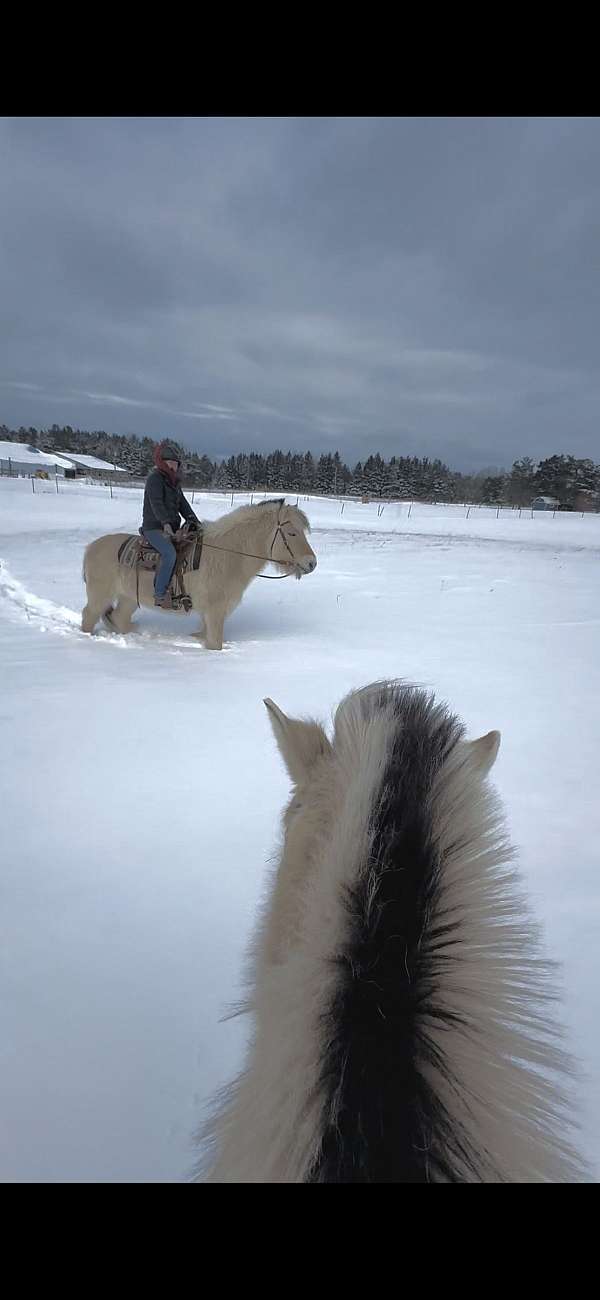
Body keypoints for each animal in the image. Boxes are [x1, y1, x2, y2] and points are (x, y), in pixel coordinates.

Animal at [82, 493, 316, 647]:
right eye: (292, 532)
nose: (311, 563)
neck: (228, 555)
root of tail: (91, 547)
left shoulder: (209, 615)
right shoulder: (214, 613)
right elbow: (215, 644)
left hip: (129, 598)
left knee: (119, 618)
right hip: (100, 595)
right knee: (89, 616)